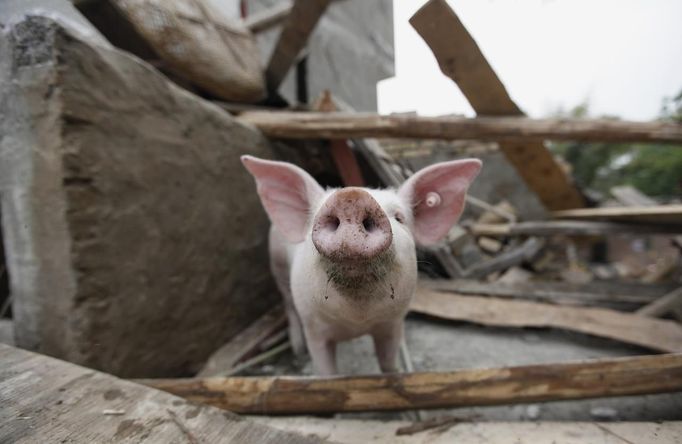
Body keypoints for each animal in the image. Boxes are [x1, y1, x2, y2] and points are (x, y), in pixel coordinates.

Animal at [239, 156, 478, 374]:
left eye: (399, 217)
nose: (351, 196)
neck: (356, 322)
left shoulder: (392, 325)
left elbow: (388, 365)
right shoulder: (314, 329)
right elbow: (327, 373)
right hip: (277, 265)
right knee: (288, 302)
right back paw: (298, 349)